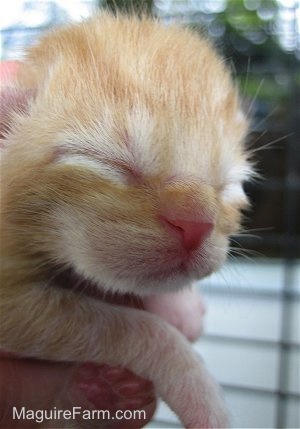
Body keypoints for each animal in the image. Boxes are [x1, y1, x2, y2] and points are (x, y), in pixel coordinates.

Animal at [0, 11, 251, 426]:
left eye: (227, 186)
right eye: (113, 164)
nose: (196, 225)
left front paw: (182, 309)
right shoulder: (11, 306)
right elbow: (135, 330)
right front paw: (202, 396)